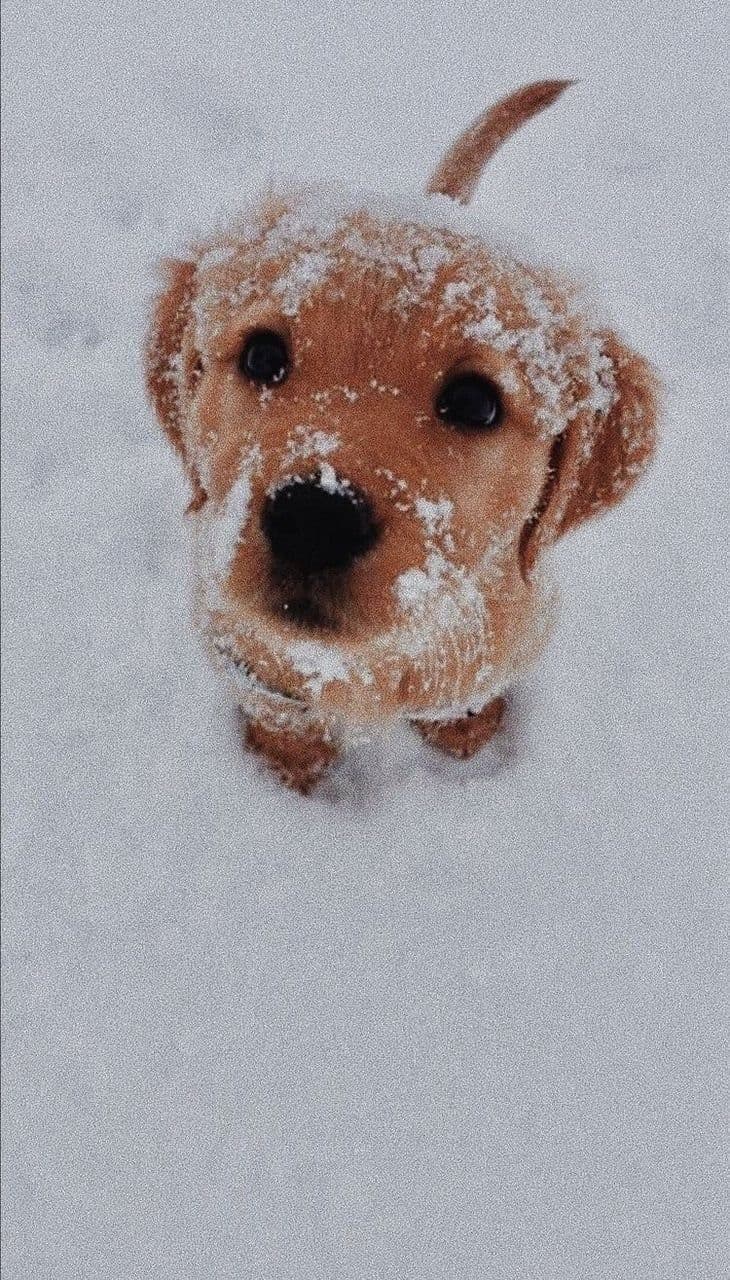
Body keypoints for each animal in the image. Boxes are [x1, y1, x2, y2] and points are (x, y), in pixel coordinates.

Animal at [144, 82, 655, 788]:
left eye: (475, 402)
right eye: (261, 355)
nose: (315, 518)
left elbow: (466, 695)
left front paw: (469, 735)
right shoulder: (243, 651)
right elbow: (283, 711)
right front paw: (289, 771)